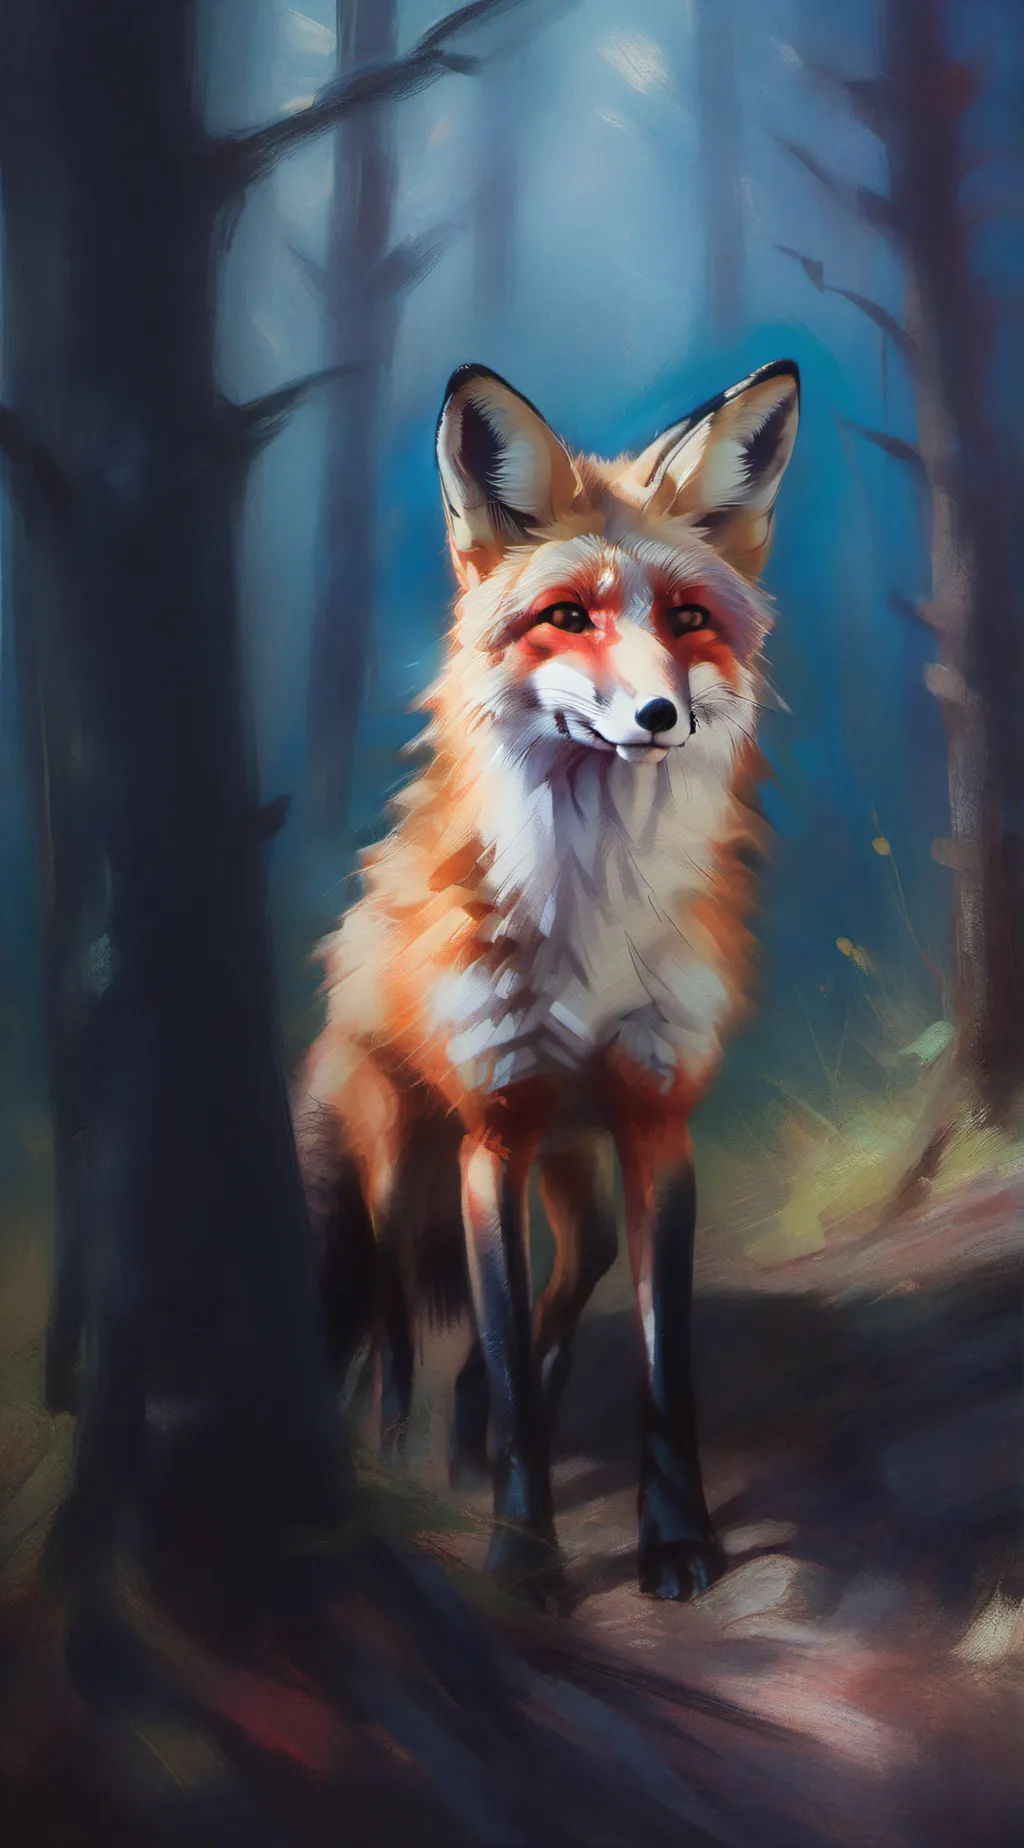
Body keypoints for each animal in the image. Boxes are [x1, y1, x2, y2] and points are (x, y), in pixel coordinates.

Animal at [294, 358, 800, 1604]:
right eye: (568, 616)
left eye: (687, 620)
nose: (660, 716)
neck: (596, 917)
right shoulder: (498, 1130)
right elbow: (512, 1361)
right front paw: (523, 1559)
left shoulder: (655, 1122)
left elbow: (659, 1370)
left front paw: (678, 1542)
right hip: (403, 1166)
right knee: (391, 1319)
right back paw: (400, 1454)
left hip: (578, 1172)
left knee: (563, 1287)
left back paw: (467, 1435)